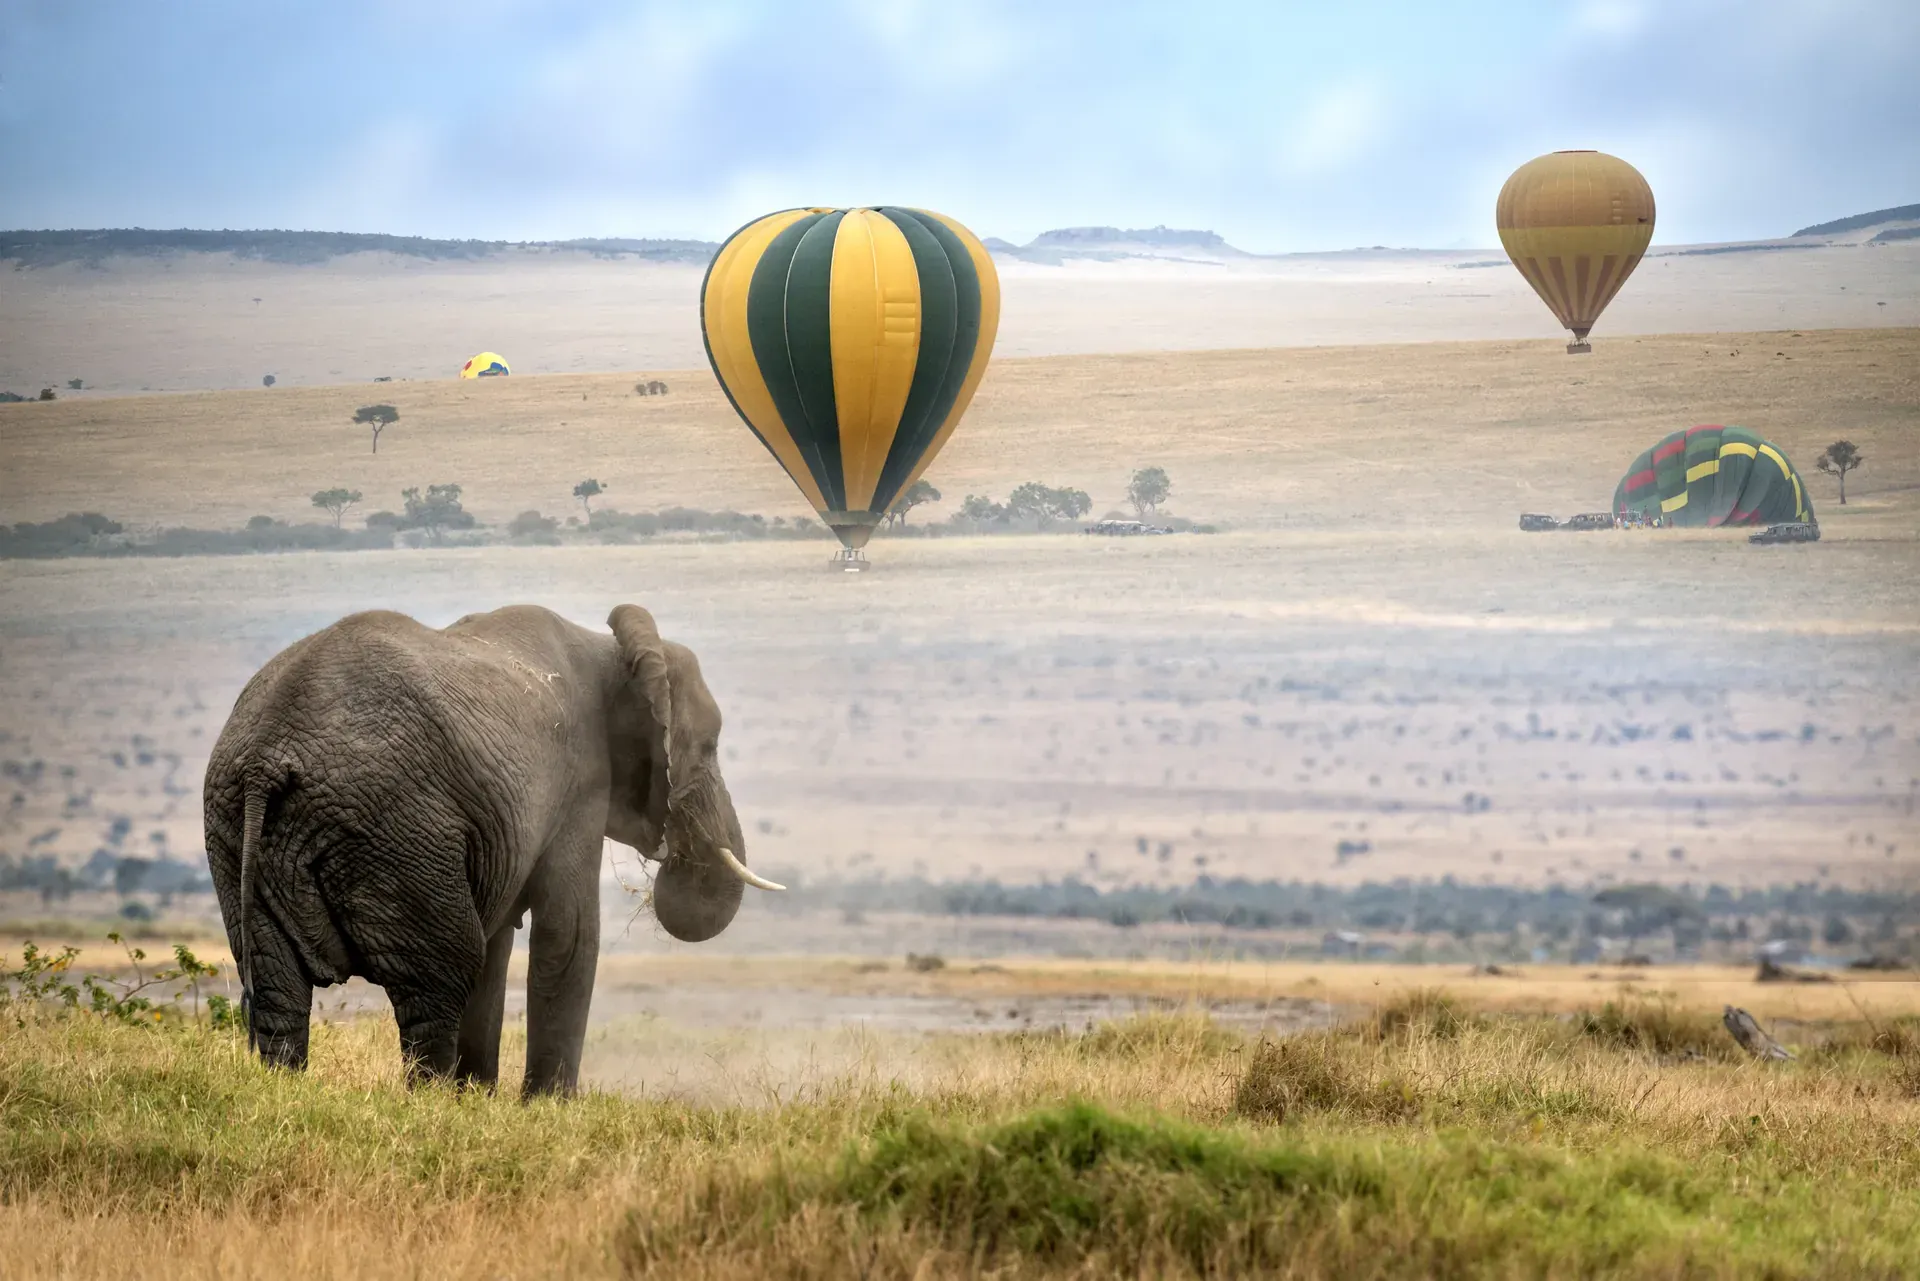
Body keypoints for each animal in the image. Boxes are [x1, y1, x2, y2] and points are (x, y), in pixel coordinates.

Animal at [202, 603, 782, 1096]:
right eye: (709, 746)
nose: (674, 851)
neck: (612, 649)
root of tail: (267, 757)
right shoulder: (580, 783)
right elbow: (567, 935)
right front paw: (547, 1108)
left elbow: (500, 939)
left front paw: (478, 1098)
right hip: (395, 829)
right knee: (442, 972)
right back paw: (429, 1100)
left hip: (235, 834)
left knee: (277, 988)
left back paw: (288, 1089)